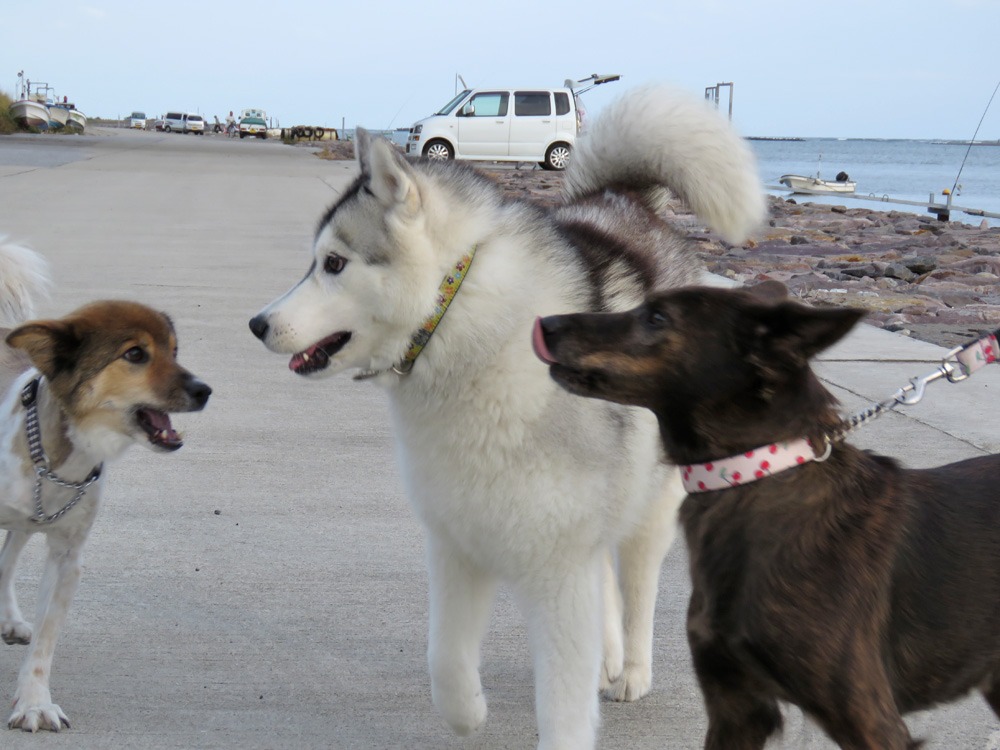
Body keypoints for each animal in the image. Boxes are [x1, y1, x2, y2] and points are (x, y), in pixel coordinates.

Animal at [0, 241, 211, 736]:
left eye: (175, 350)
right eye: (135, 354)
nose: (205, 390)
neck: (57, 456)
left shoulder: (67, 558)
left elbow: (44, 644)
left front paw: (34, 702)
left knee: (8, 555)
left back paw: (10, 618)